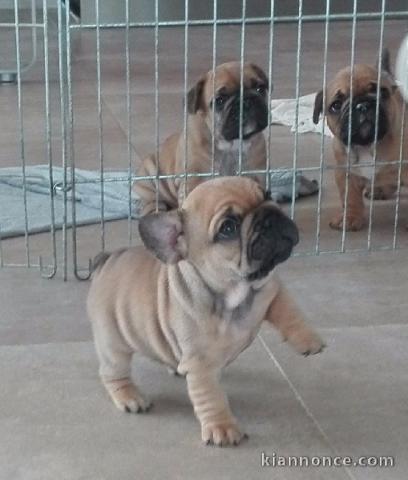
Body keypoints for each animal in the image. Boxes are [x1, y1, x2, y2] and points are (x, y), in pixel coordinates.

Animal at [87, 176, 324, 446]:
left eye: (268, 194)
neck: (237, 292)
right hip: (113, 343)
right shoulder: (201, 364)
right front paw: (222, 427)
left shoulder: (270, 289)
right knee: (113, 372)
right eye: (228, 228)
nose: (269, 216)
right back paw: (130, 397)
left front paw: (308, 340)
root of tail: (107, 259)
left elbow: (289, 310)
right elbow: (210, 397)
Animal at [314, 51, 406, 232]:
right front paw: (350, 218)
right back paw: (379, 189)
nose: (362, 105)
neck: (367, 145)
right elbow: (350, 198)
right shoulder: (345, 173)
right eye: (336, 105)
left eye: (381, 92)